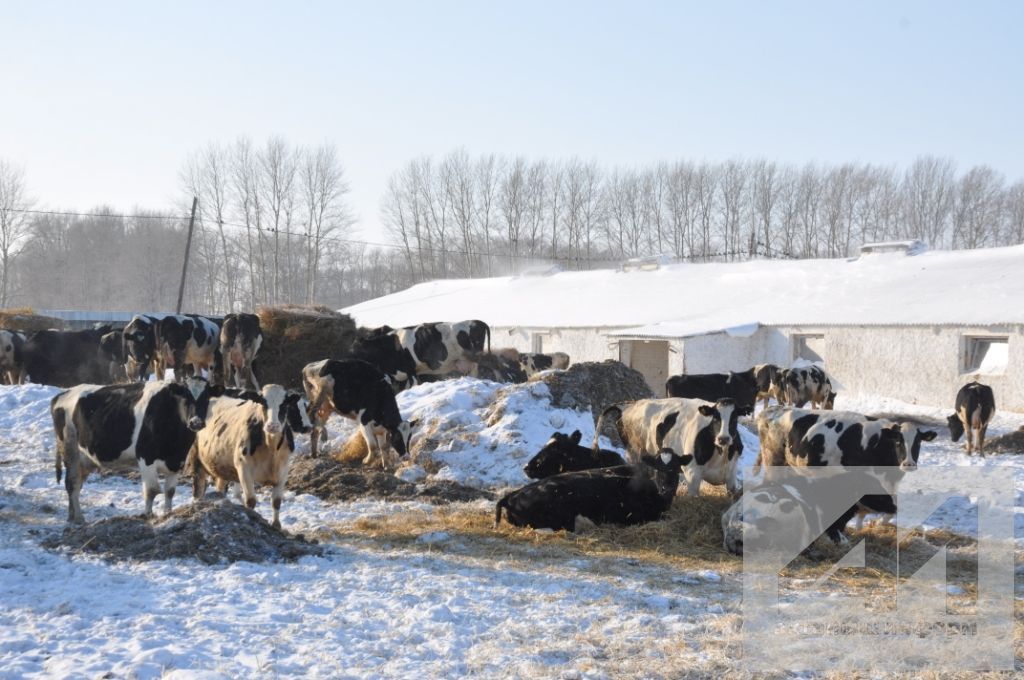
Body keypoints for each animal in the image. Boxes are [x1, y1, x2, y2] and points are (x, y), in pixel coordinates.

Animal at [50, 374, 211, 522]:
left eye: (206, 398)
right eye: (186, 398)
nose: (196, 422)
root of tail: (62, 394)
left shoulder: (176, 462)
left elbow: (170, 491)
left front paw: (167, 514)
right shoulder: (145, 457)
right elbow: (152, 490)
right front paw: (148, 515)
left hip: (85, 459)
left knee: (77, 483)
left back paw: (72, 516)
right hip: (70, 449)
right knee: (72, 483)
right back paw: (78, 518)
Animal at [593, 395, 753, 497]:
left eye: (734, 418)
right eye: (715, 418)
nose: (723, 439)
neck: (719, 453)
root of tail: (628, 405)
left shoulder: (731, 473)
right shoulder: (692, 474)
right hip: (634, 453)